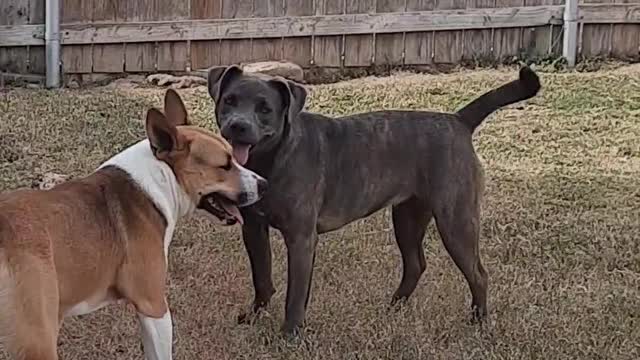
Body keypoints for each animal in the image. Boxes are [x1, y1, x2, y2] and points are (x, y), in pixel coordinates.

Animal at [209, 66, 540, 336]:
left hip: (455, 222)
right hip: (407, 218)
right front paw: (254, 316)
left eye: (265, 109)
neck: (272, 158)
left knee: (478, 275)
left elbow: (295, 294)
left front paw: (290, 334)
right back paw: (393, 308)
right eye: (229, 101)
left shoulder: (301, 238)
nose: (238, 125)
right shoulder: (253, 229)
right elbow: (262, 278)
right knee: (415, 264)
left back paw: (478, 322)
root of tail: (459, 120)